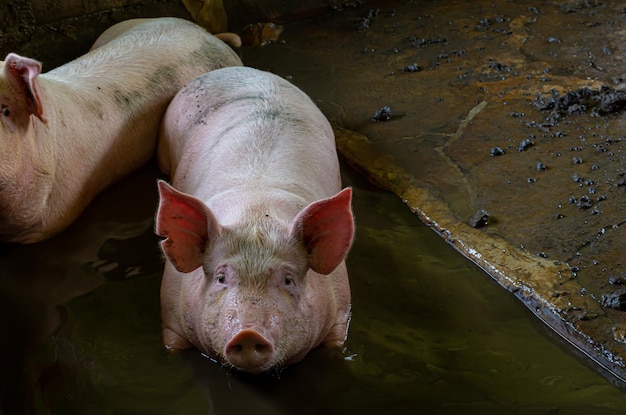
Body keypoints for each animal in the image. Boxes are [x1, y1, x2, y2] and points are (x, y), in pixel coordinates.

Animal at [154, 66, 354, 376]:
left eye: (288, 279)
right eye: (221, 277)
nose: (248, 334)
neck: (257, 213)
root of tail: (240, 68)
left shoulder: (340, 313)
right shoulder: (171, 317)